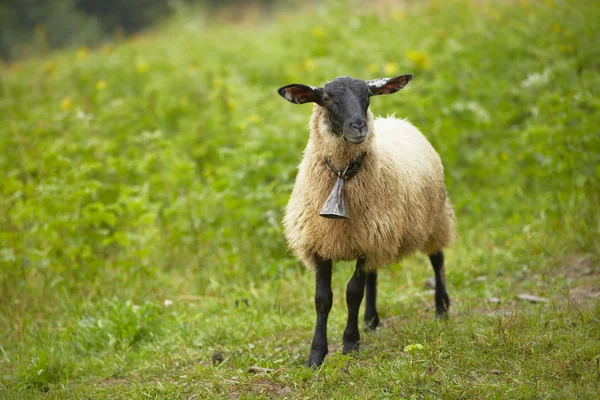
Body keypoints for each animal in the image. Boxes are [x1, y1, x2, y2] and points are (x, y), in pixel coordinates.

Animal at [276, 73, 454, 368]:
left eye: (367, 96)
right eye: (327, 98)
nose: (359, 126)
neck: (341, 175)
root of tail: (396, 119)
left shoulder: (364, 242)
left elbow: (352, 293)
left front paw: (350, 343)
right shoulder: (322, 243)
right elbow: (322, 299)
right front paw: (316, 354)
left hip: (434, 218)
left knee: (437, 259)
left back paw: (442, 308)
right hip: (380, 233)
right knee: (374, 273)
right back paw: (371, 320)